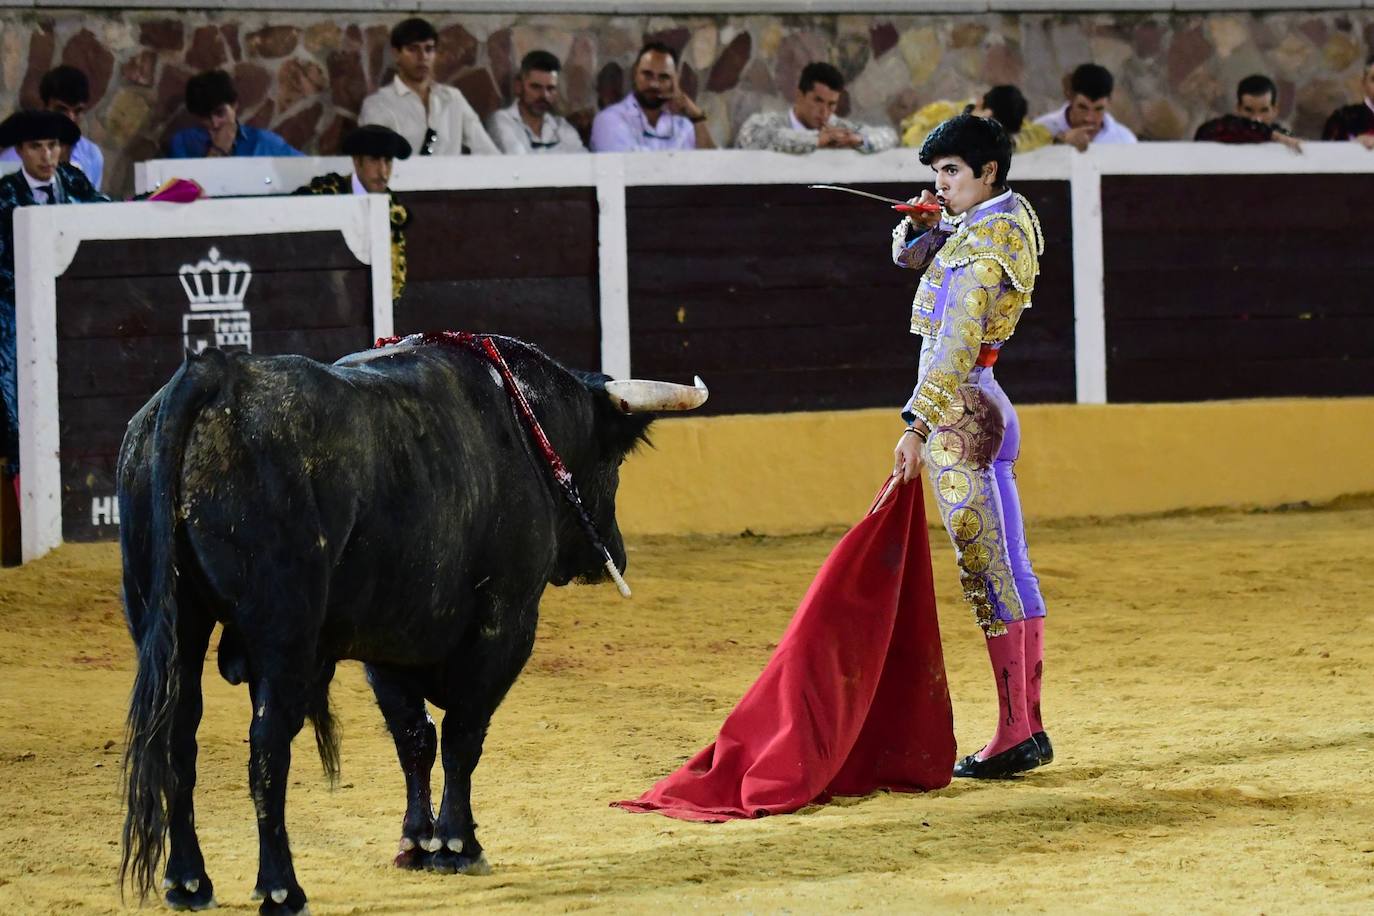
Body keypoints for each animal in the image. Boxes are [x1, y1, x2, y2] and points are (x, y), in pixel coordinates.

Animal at [115, 340, 684, 911]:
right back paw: (280, 886)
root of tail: (216, 373)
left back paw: (188, 880)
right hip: (284, 631)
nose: (616, 555)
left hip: (173, 621)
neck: (523, 425)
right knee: (267, 743)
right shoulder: (506, 623)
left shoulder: (387, 640)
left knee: (177, 737)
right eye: (613, 461)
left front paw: (417, 842)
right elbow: (461, 735)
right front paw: (457, 844)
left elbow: (415, 737)